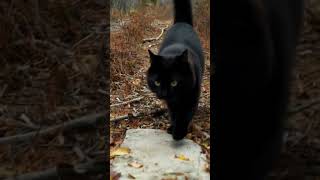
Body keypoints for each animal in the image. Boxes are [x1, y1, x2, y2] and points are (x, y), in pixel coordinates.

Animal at [147, 0, 204, 141]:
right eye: (157, 82)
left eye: (174, 82)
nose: (163, 94)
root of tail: (181, 23)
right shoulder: (170, 103)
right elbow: (173, 113)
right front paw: (172, 127)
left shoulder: (192, 96)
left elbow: (185, 114)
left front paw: (178, 132)